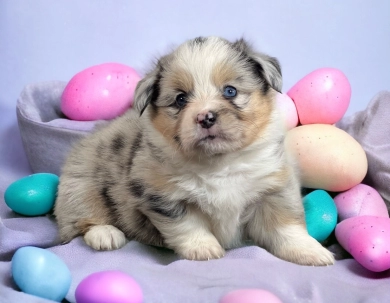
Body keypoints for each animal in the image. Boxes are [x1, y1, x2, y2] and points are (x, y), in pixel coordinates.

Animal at [54, 36, 336, 268]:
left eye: (230, 91)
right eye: (180, 99)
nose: (206, 117)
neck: (219, 163)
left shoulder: (273, 189)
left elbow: (287, 227)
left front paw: (311, 252)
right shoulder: (164, 197)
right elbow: (187, 225)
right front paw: (204, 249)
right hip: (80, 185)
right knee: (80, 220)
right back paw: (105, 233)